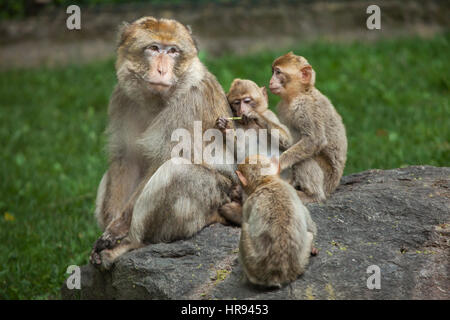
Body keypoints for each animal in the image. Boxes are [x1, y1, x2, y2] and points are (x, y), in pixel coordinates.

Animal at [214, 79, 292, 221]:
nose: (242, 110)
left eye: (247, 101)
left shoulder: (269, 115)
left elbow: (288, 142)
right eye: (237, 102)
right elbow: (241, 154)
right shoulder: (237, 125)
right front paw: (225, 128)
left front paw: (255, 115)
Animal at [236, 155, 316, 288]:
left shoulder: (247, 204)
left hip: (253, 264)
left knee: (244, 228)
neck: (267, 181)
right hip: (301, 261)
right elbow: (309, 225)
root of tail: (278, 275)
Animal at [268, 52, 346, 202]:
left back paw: (312, 195)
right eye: (273, 71)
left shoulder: (305, 107)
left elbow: (314, 140)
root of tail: (333, 186)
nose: (270, 81)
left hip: (326, 178)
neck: (300, 93)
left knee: (304, 159)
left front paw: (277, 164)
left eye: (278, 72)